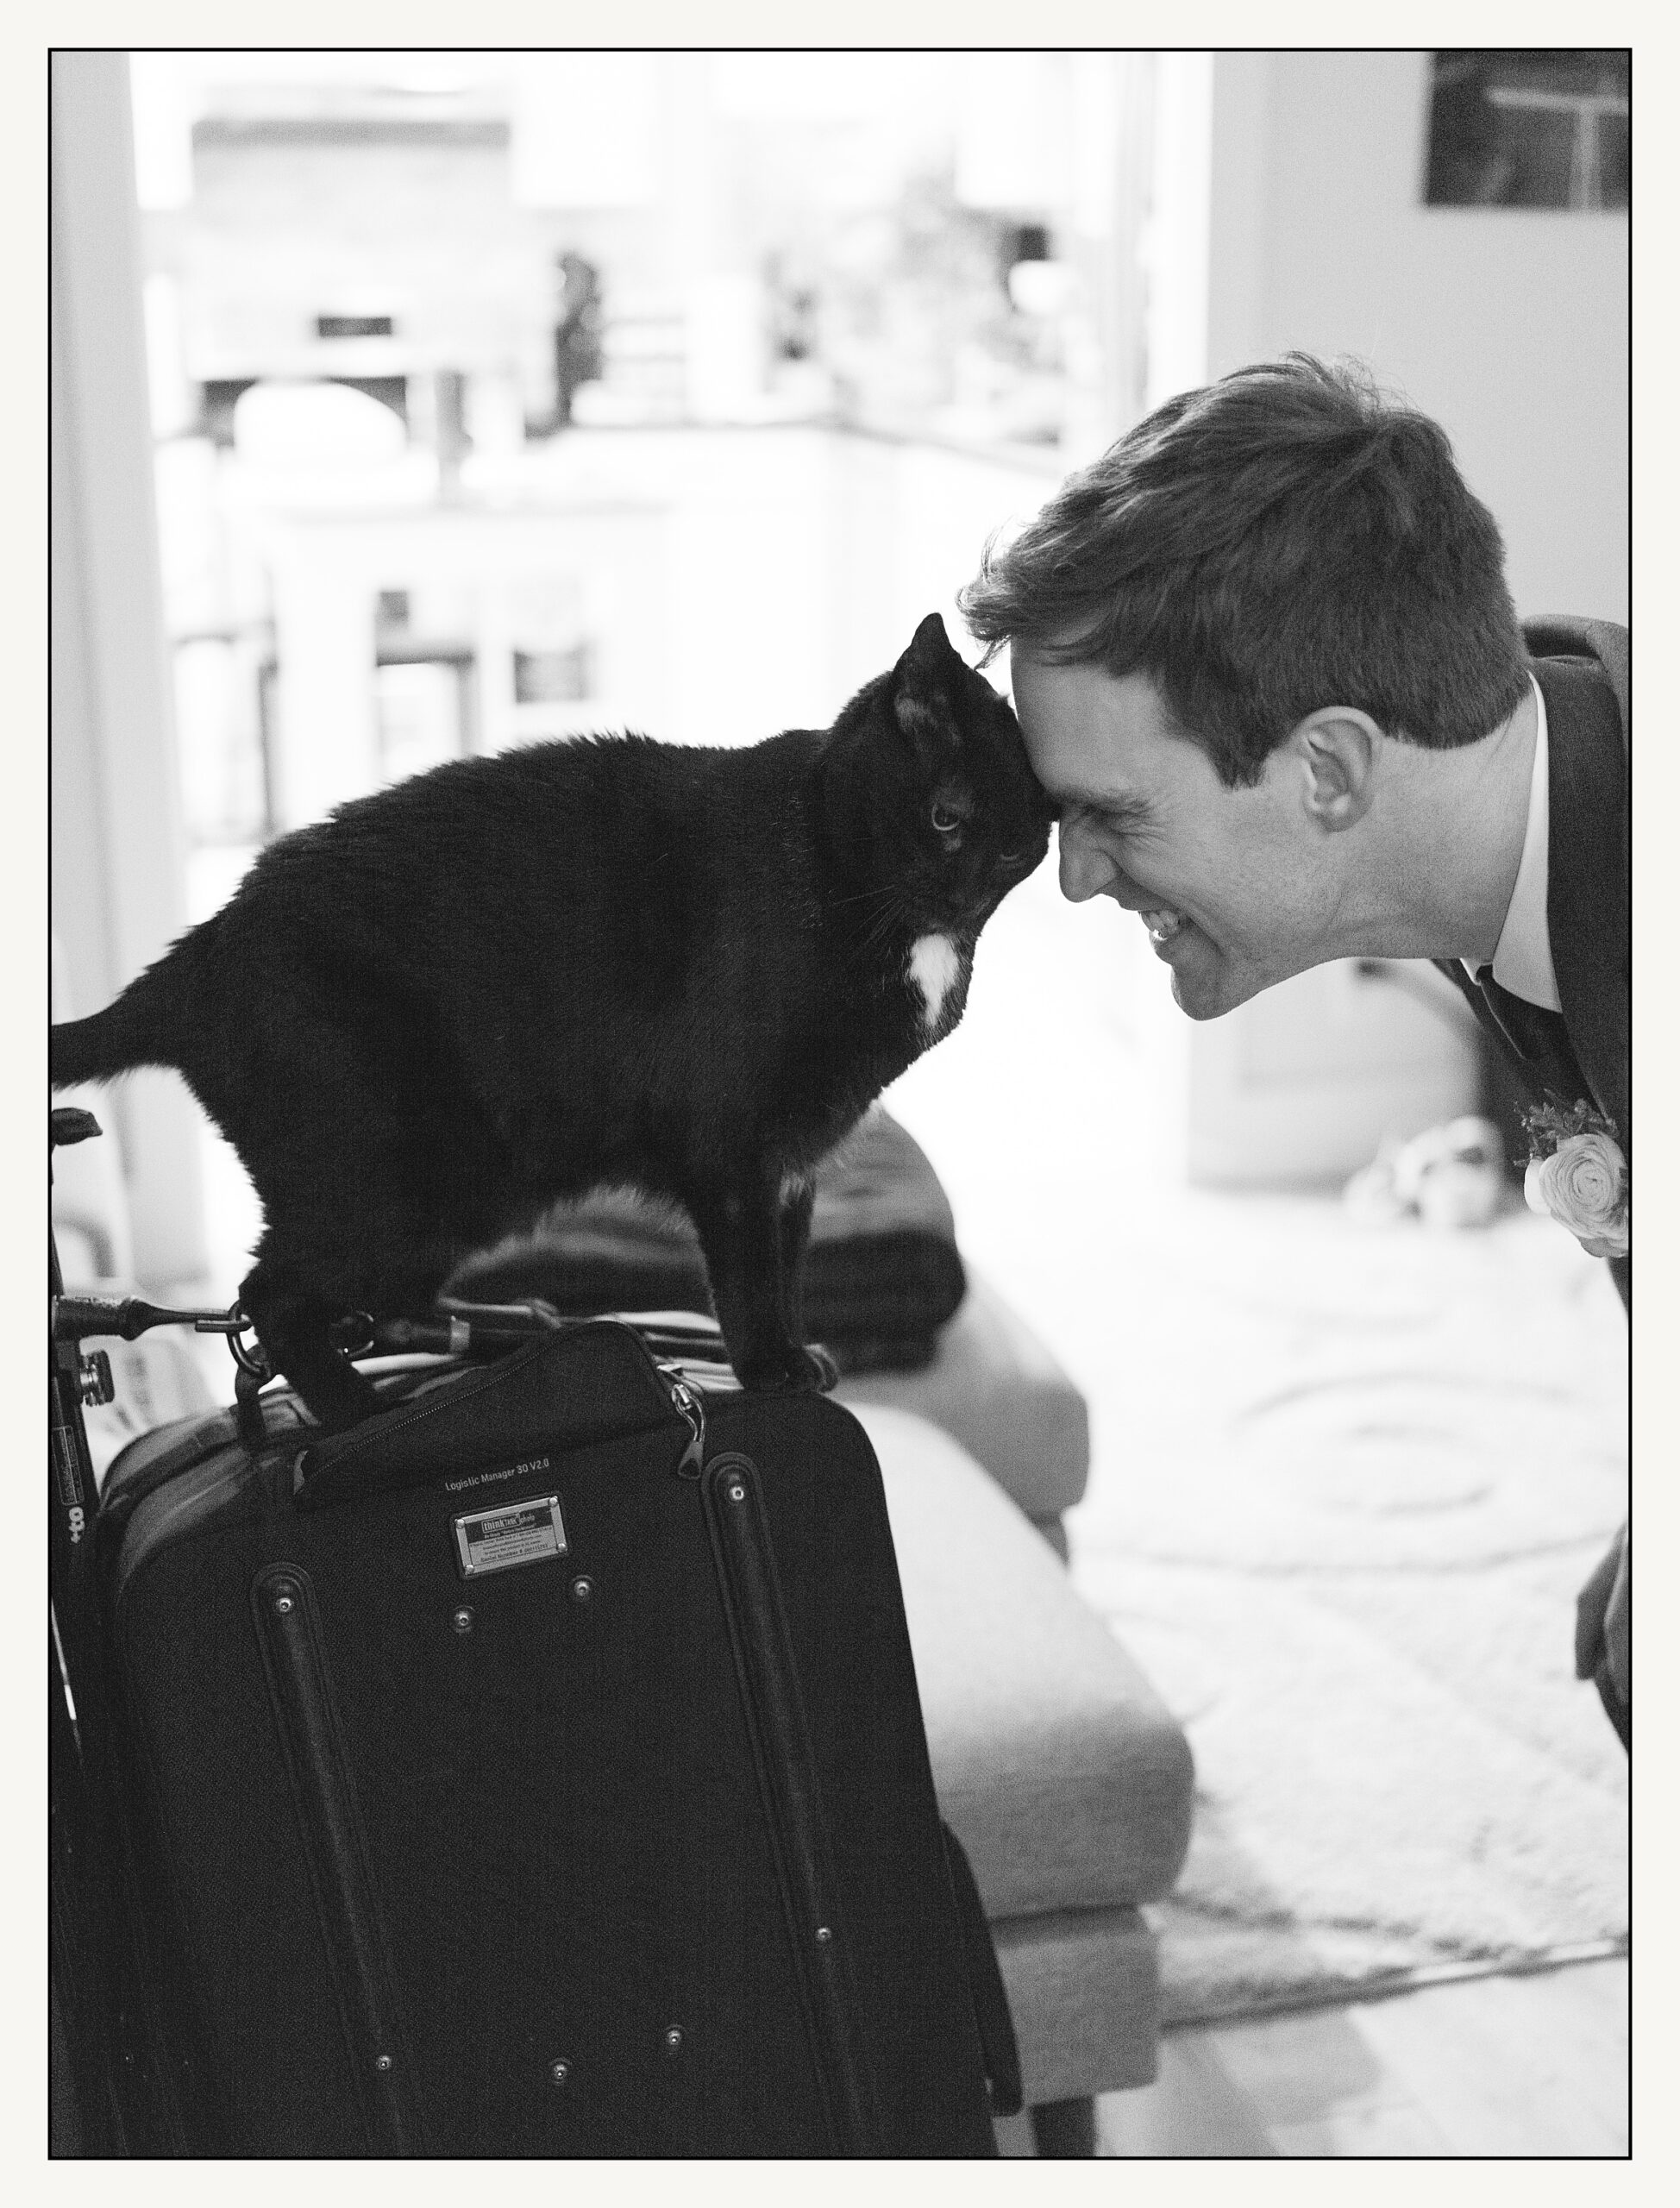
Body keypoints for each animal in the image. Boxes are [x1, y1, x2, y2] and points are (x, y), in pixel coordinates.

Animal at [52, 613, 1042, 1421]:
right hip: (386, 1182)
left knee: (347, 1306)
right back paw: (354, 1413)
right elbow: (748, 1277)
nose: (958, 895)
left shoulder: (797, 1160)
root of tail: (196, 954)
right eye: (945, 816)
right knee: (269, 1299)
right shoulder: (733, 1156)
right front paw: (767, 1371)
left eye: (1018, 851)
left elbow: (789, 1269)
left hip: (450, 1201)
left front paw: (797, 1352)